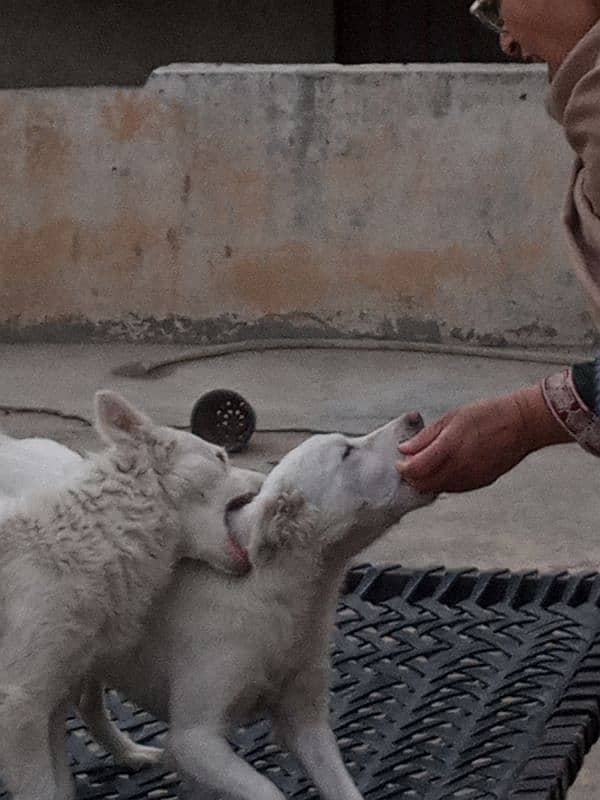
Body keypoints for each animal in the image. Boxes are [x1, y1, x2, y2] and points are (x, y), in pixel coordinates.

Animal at [0, 394, 262, 800]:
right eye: (221, 456)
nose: (266, 480)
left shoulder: (48, 698)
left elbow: (61, 786)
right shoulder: (19, 706)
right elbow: (43, 790)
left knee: (90, 706)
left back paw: (131, 753)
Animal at [78, 412, 436, 800]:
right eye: (345, 452)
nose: (415, 417)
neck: (272, 587)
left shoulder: (305, 720)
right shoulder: (194, 739)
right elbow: (268, 790)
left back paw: (130, 753)